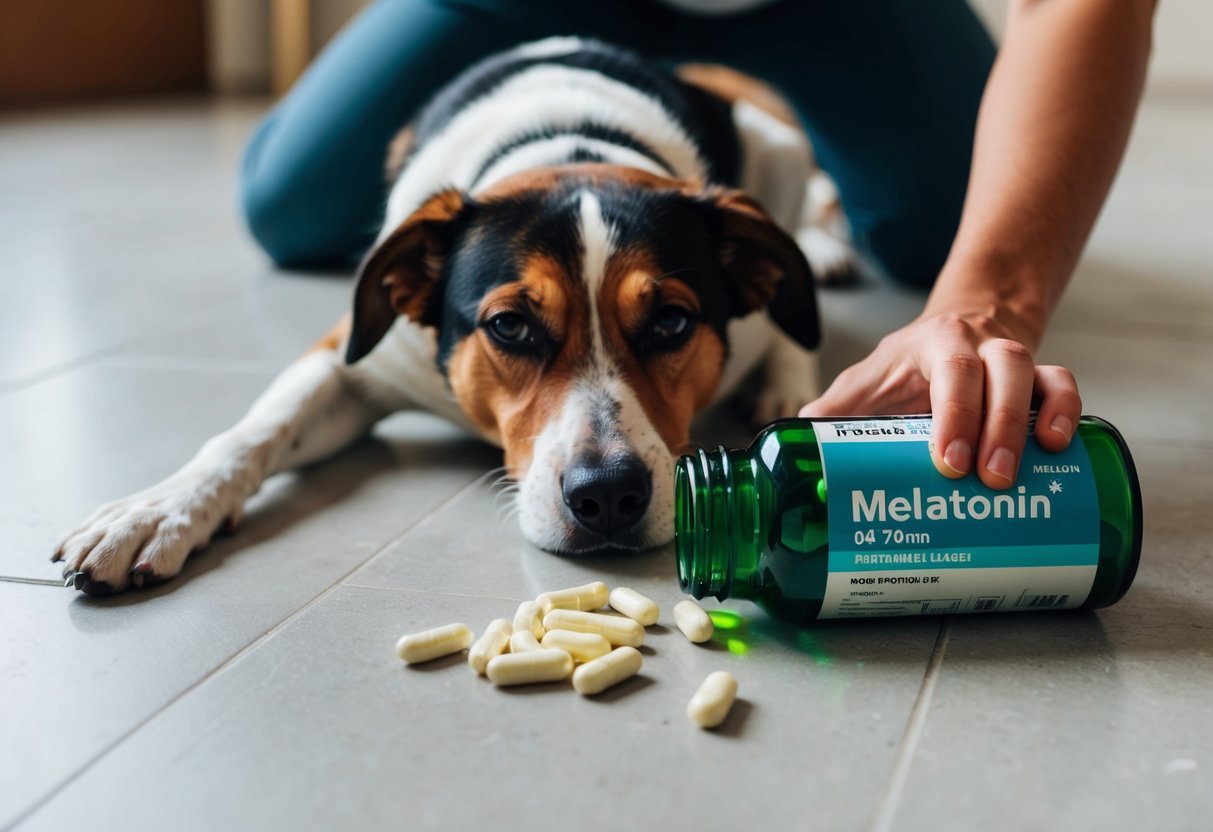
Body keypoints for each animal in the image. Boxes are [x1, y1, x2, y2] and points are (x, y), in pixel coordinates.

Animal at [54, 37, 853, 594]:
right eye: (509, 326)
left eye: (672, 324)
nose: (608, 495)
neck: (571, 140)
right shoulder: (356, 353)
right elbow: (252, 433)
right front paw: (156, 512)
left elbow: (789, 319)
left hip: (777, 146)